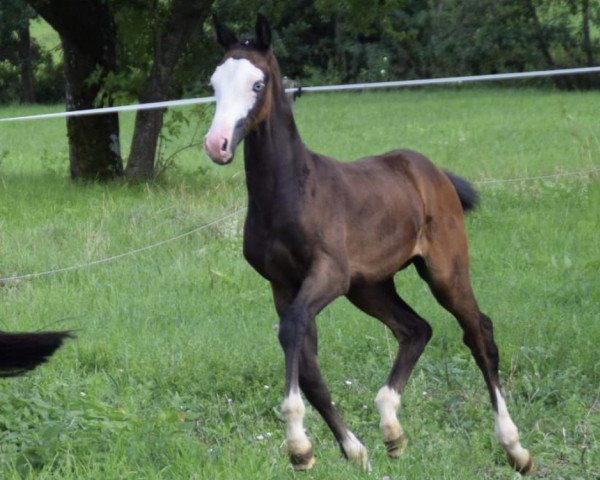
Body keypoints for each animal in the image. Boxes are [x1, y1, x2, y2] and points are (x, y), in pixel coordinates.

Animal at [204, 14, 532, 472]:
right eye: (213, 83)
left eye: (257, 83)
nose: (216, 145)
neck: (290, 191)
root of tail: (433, 172)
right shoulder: (282, 284)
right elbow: (307, 365)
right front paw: (351, 450)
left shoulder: (330, 274)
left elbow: (292, 331)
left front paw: (298, 444)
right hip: (370, 286)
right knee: (416, 329)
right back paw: (392, 430)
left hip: (443, 270)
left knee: (479, 333)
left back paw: (514, 447)